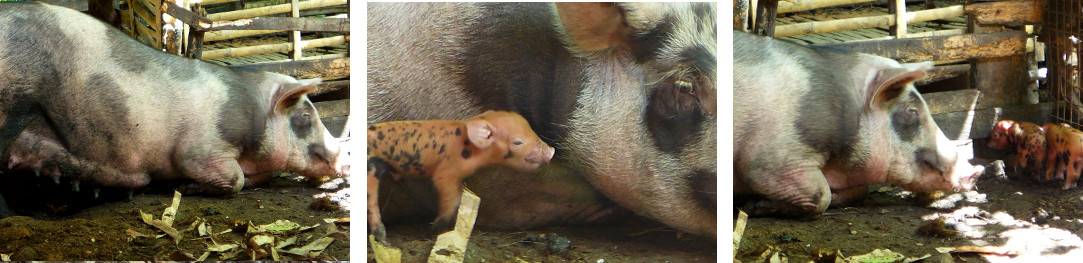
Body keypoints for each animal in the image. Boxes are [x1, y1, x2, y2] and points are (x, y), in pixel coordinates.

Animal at [0, 3, 346, 206]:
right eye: (305, 117)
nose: (342, 159)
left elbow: (263, 177)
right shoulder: (201, 149)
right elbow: (233, 179)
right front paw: (186, 187)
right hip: (13, 102)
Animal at [368, 110, 554, 242]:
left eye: (531, 130)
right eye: (517, 142)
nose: (551, 151)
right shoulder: (446, 173)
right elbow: (451, 198)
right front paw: (435, 230)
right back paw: (384, 240)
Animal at [732, 30, 987, 215]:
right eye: (912, 111)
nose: (977, 172)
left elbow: (860, 191)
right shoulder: (771, 160)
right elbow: (821, 194)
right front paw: (751, 207)